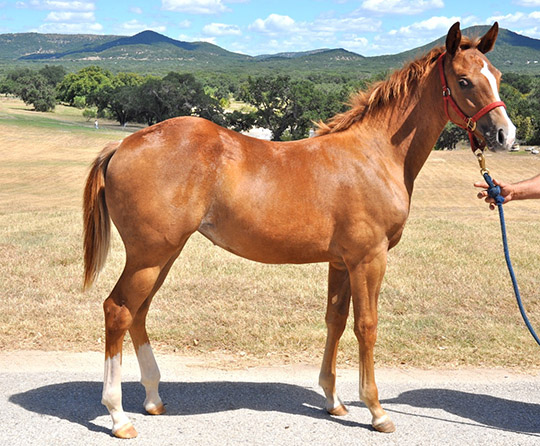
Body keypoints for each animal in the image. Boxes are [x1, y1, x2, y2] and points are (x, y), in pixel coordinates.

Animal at [83, 22, 516, 438]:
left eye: (496, 75)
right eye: (464, 80)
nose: (505, 135)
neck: (375, 155)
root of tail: (123, 145)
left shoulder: (341, 263)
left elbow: (335, 321)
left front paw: (333, 400)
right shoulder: (368, 259)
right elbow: (367, 326)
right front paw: (377, 411)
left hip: (164, 255)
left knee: (138, 313)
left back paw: (153, 398)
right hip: (150, 256)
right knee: (118, 311)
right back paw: (118, 416)